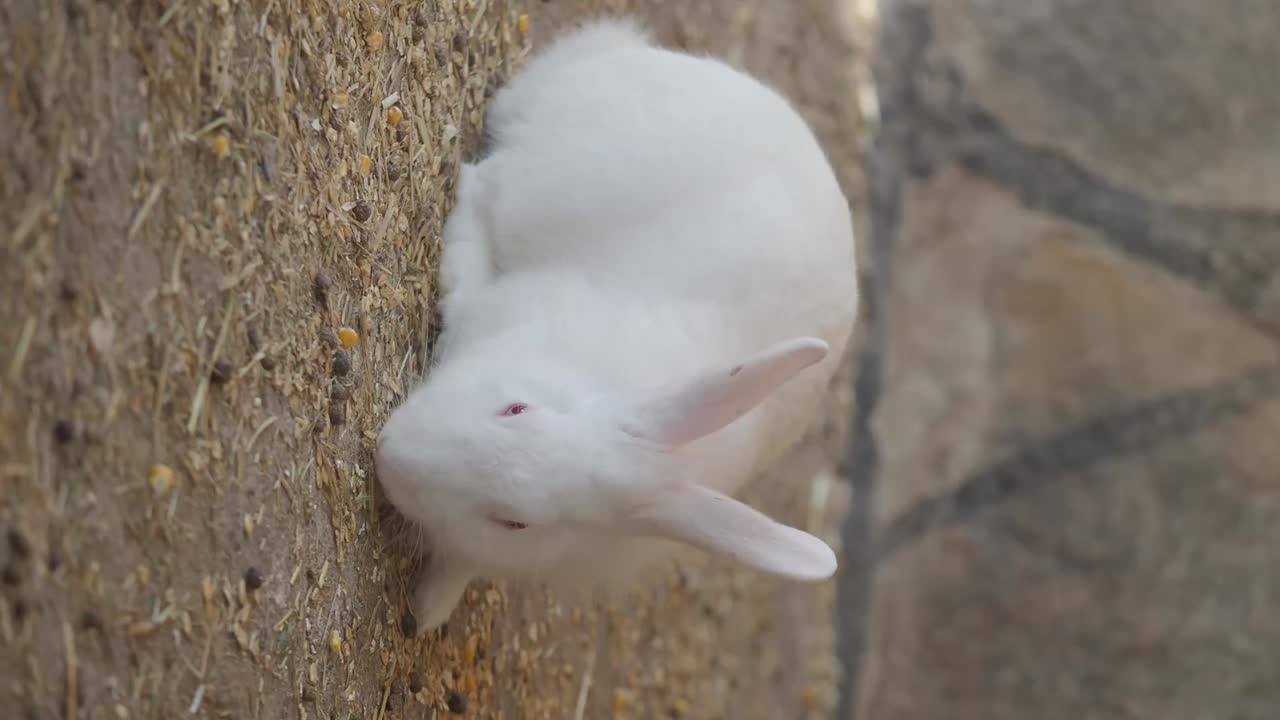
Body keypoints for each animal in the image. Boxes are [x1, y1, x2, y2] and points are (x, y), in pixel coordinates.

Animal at [375, 16, 859, 634]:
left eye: (514, 523)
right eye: (516, 409)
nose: (391, 457)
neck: (583, 377)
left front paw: (429, 608)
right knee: (490, 176)